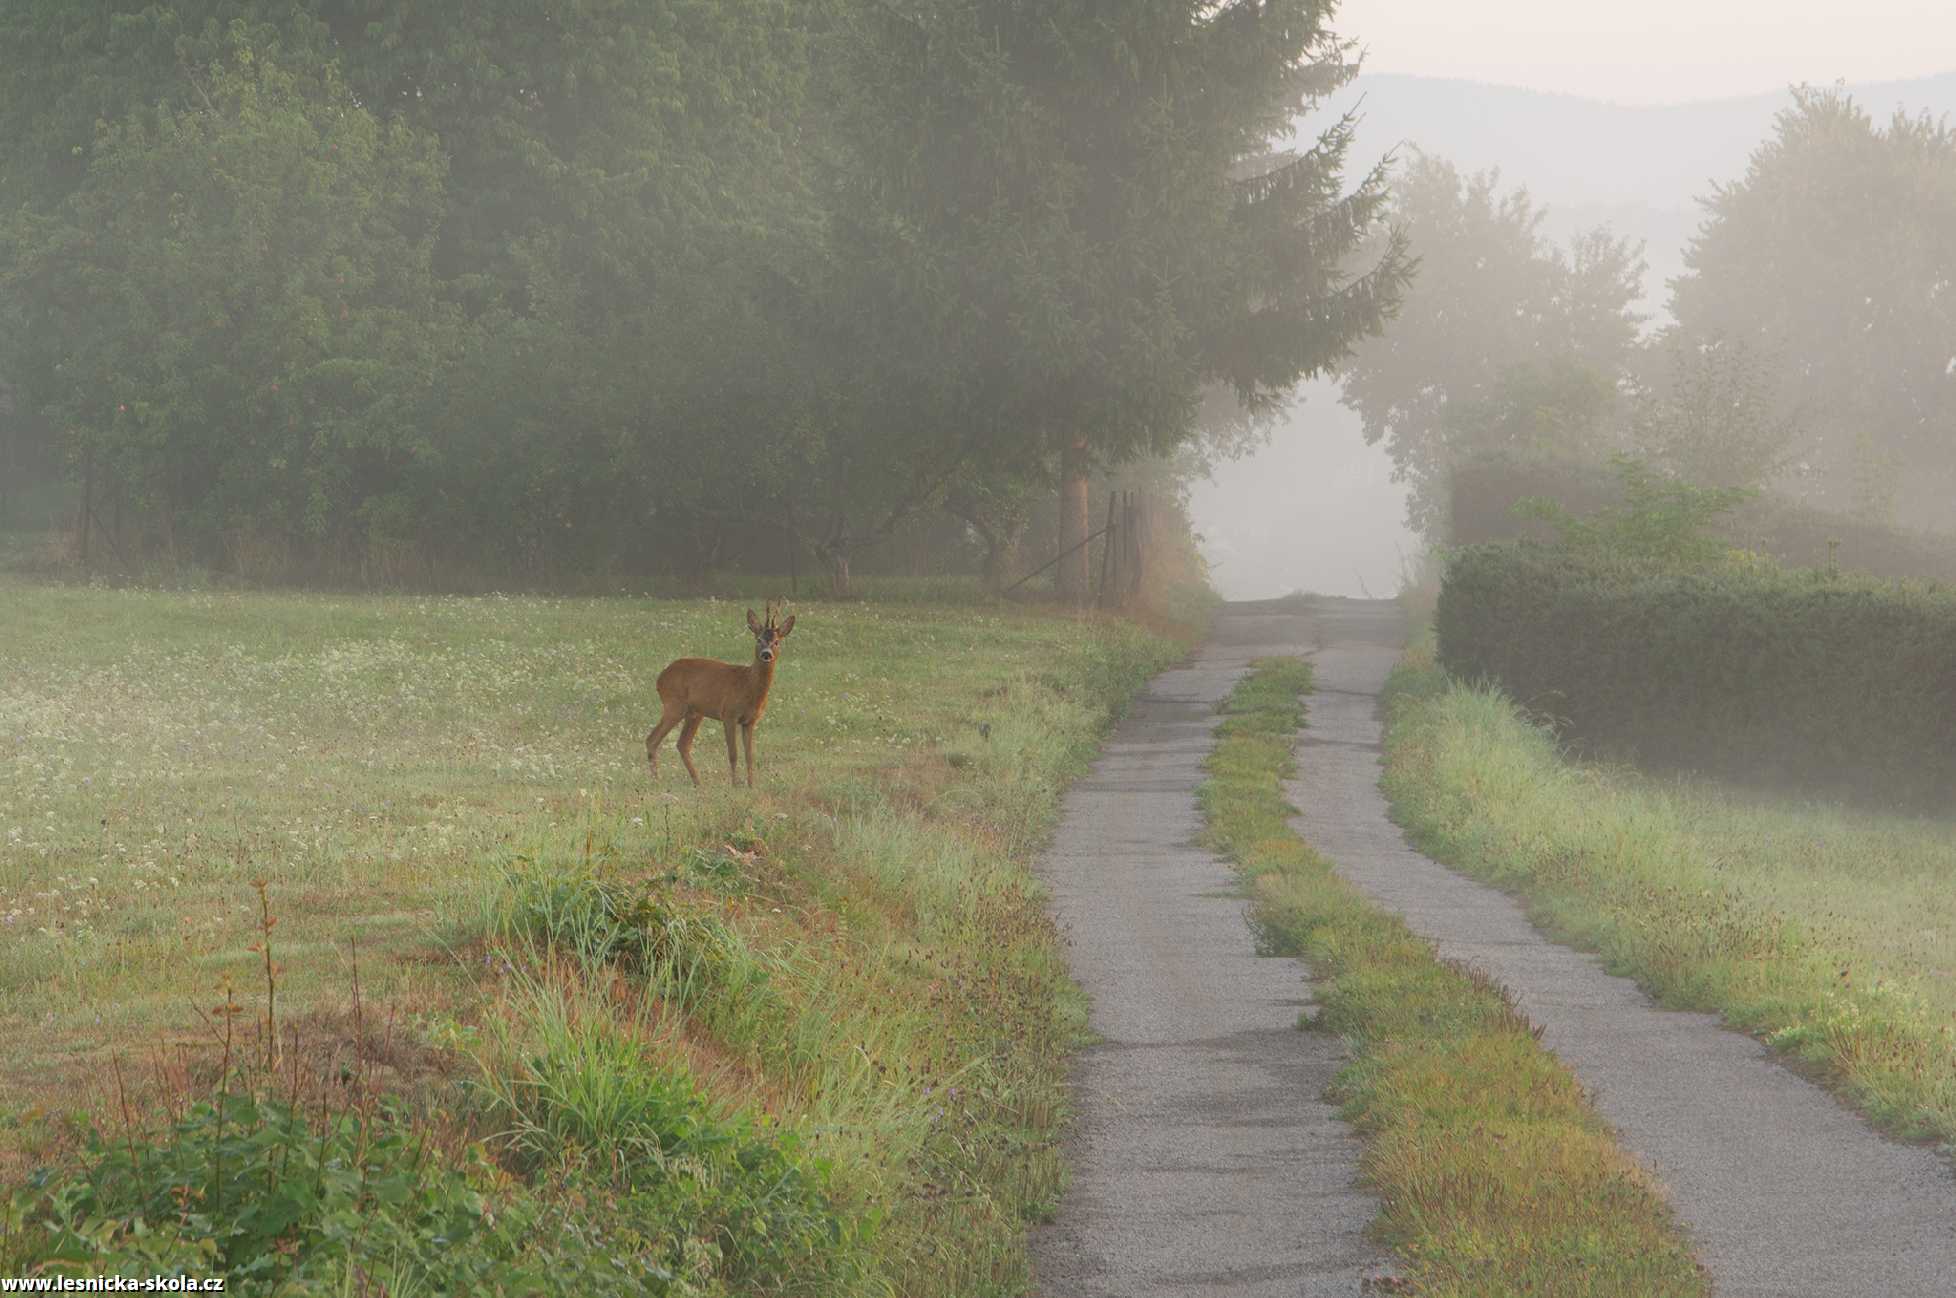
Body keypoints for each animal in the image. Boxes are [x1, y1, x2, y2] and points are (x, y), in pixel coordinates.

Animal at [645, 602, 790, 785]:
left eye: (777, 642)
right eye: (758, 639)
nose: (766, 654)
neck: (748, 685)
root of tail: (660, 678)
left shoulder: (750, 721)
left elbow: (749, 756)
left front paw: (751, 785)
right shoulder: (729, 714)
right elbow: (733, 754)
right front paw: (735, 785)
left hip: (694, 713)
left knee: (682, 744)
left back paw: (698, 782)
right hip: (674, 705)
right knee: (652, 739)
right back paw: (657, 780)